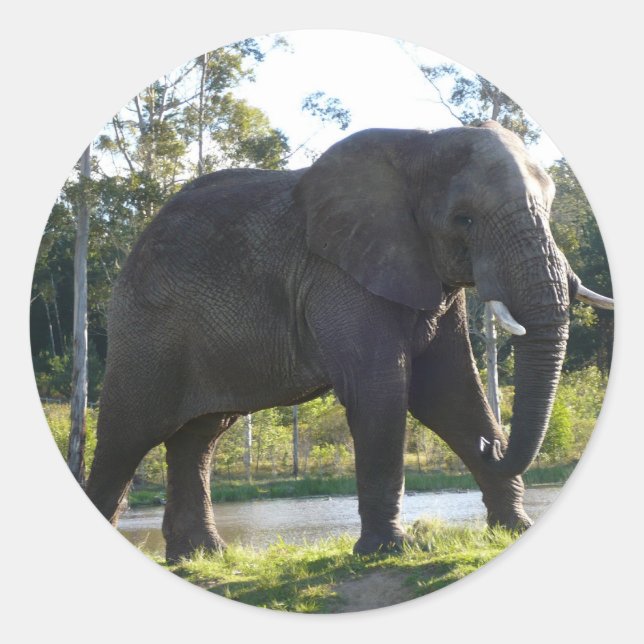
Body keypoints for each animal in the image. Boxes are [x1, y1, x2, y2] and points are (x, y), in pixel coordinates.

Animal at [85, 122, 613, 562]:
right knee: (126, 436)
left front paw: (515, 530)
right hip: (146, 330)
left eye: (550, 206)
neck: (419, 146)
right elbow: (382, 390)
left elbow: (450, 392)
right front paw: (387, 552)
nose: (491, 445)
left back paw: (201, 558)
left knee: (198, 438)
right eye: (464, 219)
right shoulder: (338, 276)